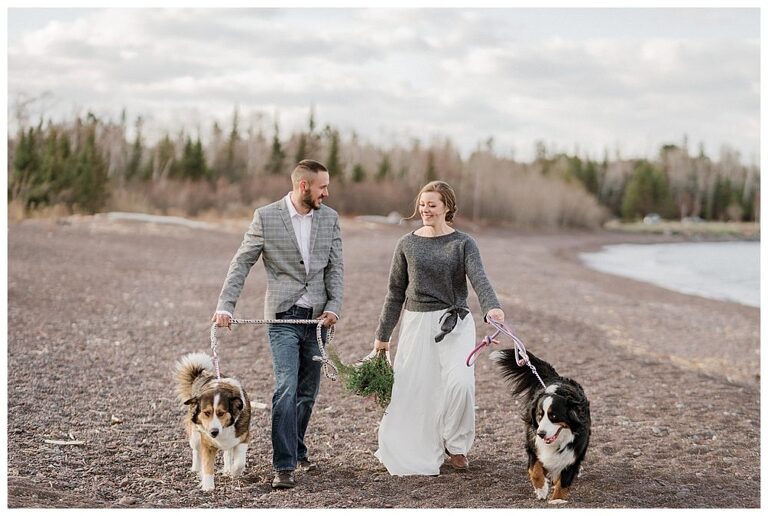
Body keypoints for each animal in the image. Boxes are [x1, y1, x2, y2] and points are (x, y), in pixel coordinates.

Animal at [172, 350, 250, 492]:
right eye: (206, 413)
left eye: (221, 413)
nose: (214, 432)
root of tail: (200, 375)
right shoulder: (206, 441)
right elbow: (207, 464)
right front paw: (208, 486)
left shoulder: (243, 436)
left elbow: (240, 462)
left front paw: (234, 471)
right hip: (195, 436)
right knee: (196, 451)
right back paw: (196, 468)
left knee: (227, 453)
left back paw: (227, 469)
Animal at [488, 346, 592, 504]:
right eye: (539, 415)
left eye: (554, 416)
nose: (541, 434)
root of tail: (557, 378)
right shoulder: (533, 445)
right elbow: (535, 470)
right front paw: (542, 489)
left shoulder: (572, 454)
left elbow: (563, 482)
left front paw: (557, 500)